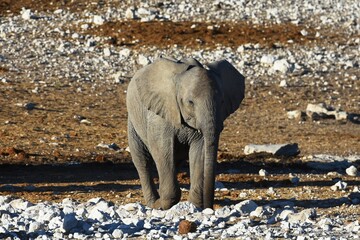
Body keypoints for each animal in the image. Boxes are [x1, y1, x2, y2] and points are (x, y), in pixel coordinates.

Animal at [126, 56, 245, 210]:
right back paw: (153, 203)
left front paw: (195, 206)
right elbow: (162, 150)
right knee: (142, 160)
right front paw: (163, 205)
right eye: (190, 102)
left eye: (222, 101)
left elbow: (199, 152)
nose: (209, 207)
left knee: (175, 161)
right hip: (133, 120)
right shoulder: (160, 116)